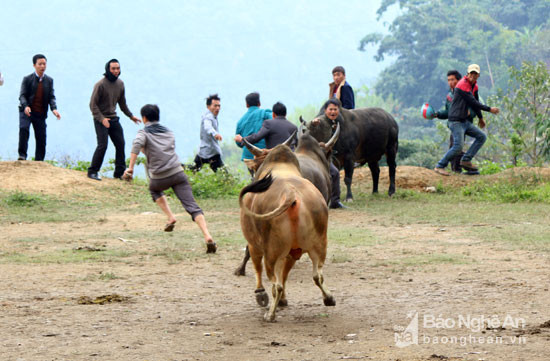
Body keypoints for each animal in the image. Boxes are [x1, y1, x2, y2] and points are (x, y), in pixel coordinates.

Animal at [240, 143, 336, 320]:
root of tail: (290, 193)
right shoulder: (292, 252)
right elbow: (284, 274)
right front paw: (283, 300)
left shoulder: (253, 244)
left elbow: (258, 268)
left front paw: (261, 294)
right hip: (318, 245)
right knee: (317, 275)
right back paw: (329, 298)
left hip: (271, 252)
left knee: (275, 283)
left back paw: (270, 315)